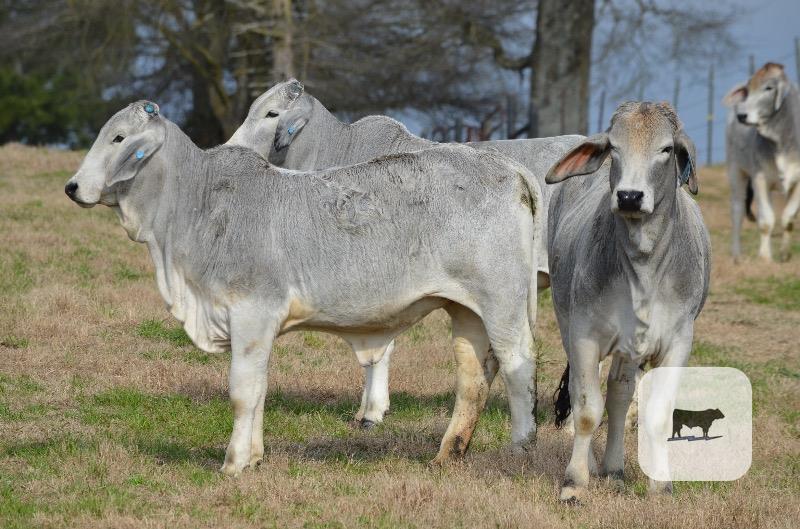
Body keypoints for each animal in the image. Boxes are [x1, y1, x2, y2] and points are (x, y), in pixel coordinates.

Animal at [64, 101, 541, 476]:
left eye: (118, 137)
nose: (72, 187)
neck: (198, 203)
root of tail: (509, 168)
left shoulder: (252, 313)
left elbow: (243, 391)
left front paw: (234, 462)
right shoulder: (257, 328)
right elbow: (259, 388)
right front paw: (254, 456)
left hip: (502, 303)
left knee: (518, 365)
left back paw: (520, 448)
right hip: (466, 311)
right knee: (472, 377)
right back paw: (447, 454)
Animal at [546, 101, 711, 501]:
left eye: (666, 149)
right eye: (614, 148)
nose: (629, 196)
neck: (643, 266)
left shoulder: (678, 342)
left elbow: (658, 415)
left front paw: (661, 485)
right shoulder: (585, 336)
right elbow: (587, 409)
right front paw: (574, 483)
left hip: (629, 350)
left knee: (620, 396)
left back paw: (615, 469)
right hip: (567, 323)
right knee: (588, 396)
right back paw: (595, 466)